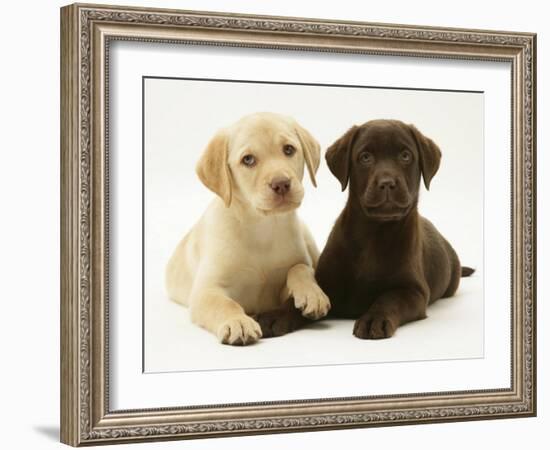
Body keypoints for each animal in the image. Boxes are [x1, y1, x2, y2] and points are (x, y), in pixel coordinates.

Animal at [166, 111, 330, 344]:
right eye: (248, 160)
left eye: (289, 149)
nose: (281, 184)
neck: (261, 226)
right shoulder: (206, 291)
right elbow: (225, 303)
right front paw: (238, 322)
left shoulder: (281, 287)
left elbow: (300, 268)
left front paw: (312, 294)